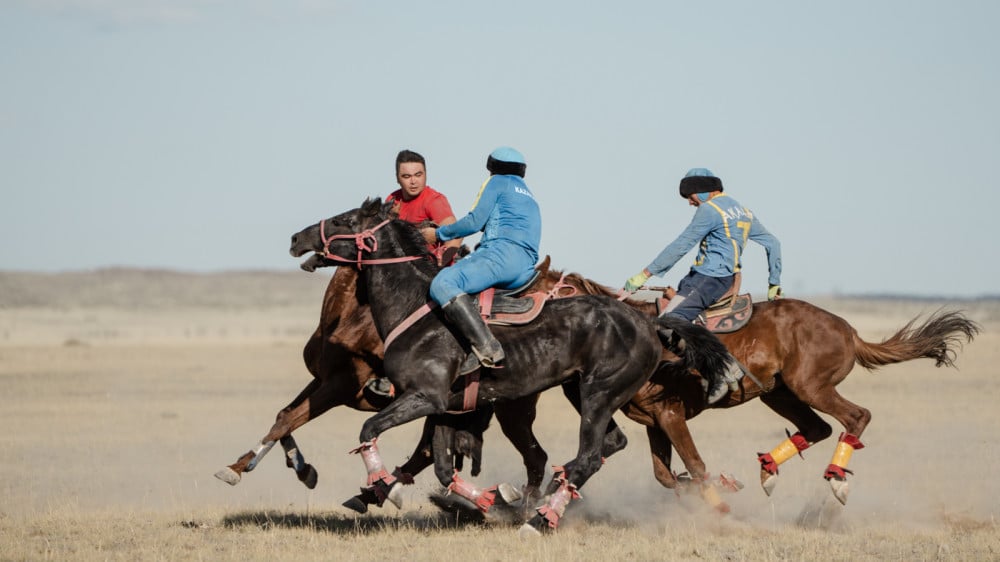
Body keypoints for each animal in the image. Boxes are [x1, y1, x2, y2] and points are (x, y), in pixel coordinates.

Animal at [290, 198, 728, 532]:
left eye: (345, 219)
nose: (296, 237)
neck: (416, 308)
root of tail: (648, 321)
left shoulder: (424, 398)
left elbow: (370, 429)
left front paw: (384, 485)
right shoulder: (448, 409)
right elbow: (444, 469)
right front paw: (488, 500)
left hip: (598, 394)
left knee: (588, 456)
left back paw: (542, 518)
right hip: (582, 391)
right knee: (607, 444)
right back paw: (547, 493)